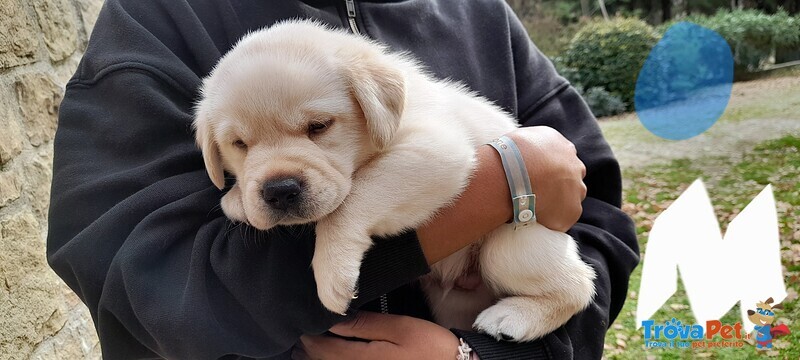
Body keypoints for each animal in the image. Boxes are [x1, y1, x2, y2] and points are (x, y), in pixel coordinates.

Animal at [194, 20, 592, 344]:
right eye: (239, 144)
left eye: (319, 126)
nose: (279, 191)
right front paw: (237, 198)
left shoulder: (435, 150)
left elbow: (356, 198)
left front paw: (331, 271)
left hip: (511, 246)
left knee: (579, 286)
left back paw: (514, 318)